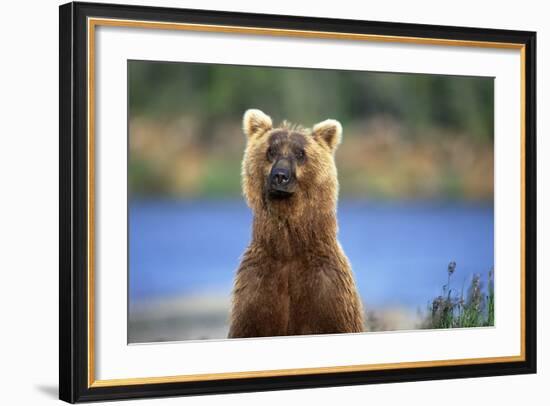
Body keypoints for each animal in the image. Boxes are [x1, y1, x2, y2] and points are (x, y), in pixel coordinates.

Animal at [229, 108, 366, 340]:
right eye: (271, 151)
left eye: (300, 153)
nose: (280, 176)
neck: (288, 249)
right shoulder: (256, 289)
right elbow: (249, 324)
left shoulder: (327, 291)